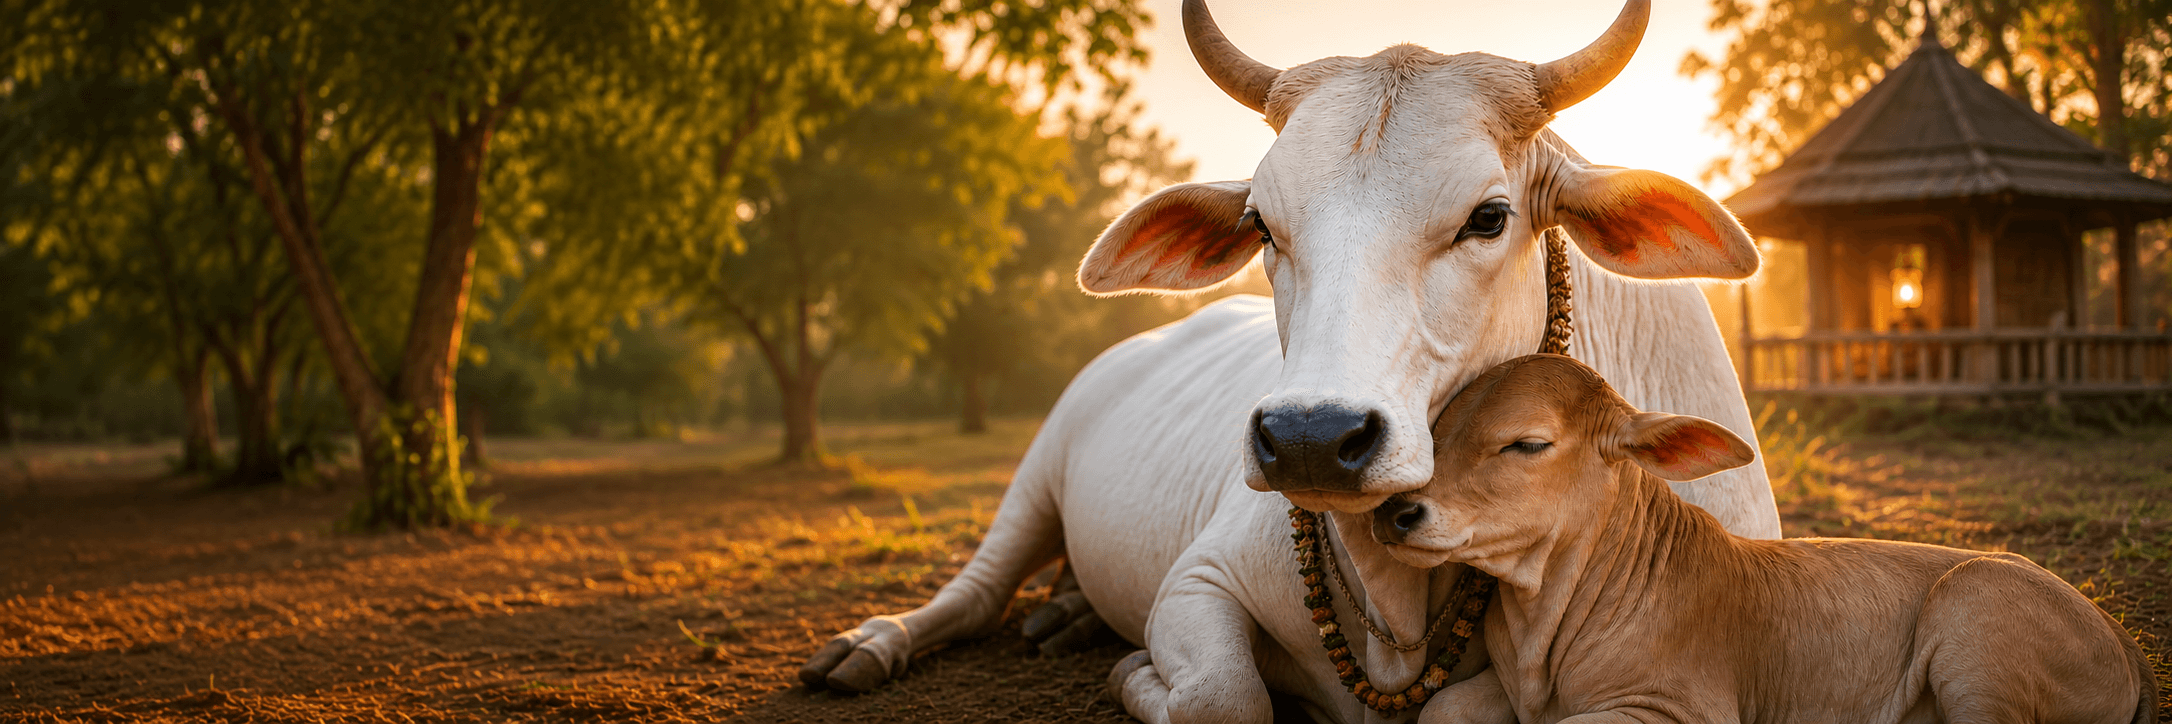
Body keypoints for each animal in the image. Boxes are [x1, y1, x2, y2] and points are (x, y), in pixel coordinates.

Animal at [801, 1, 1783, 721]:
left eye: (1489, 217)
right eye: (1262, 224)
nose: (1313, 436)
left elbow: (1453, 708)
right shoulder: (1195, 582)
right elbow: (1222, 697)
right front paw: (1135, 676)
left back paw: (1067, 613)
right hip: (1039, 468)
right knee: (974, 592)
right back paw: (872, 644)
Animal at [1380, 353, 2158, 724]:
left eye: (1528, 443)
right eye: (1439, 428)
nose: (1396, 511)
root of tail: (2122, 640)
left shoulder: (1678, 709)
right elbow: (1444, 706)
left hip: (1977, 627)